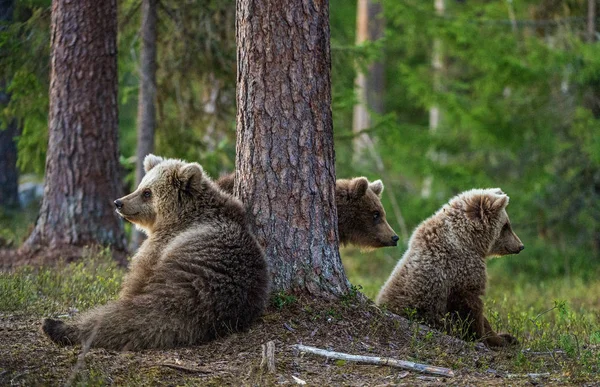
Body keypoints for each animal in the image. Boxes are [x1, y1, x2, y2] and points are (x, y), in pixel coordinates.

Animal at [41, 155, 268, 352]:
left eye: (147, 192)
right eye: (140, 186)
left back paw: (56, 326)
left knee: (132, 316)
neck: (180, 216)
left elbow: (136, 276)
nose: (119, 202)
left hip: (182, 278)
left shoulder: (162, 244)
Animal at [378, 189, 524, 348]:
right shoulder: (460, 271)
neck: (469, 241)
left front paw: (506, 336)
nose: (520, 246)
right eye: (506, 226)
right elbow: (471, 308)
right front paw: (493, 338)